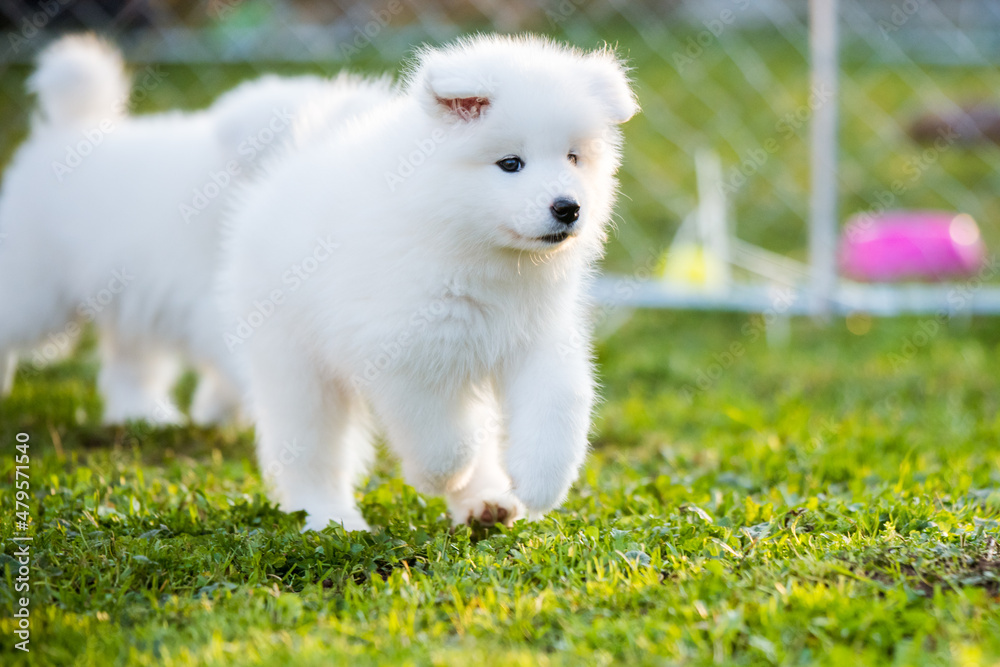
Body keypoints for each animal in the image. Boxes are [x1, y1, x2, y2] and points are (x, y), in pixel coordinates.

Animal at [0, 32, 392, 422]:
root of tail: (66, 130)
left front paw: (217, 412)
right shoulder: (227, 306)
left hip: (124, 297)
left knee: (130, 365)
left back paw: (145, 415)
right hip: (37, 293)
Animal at [222, 35, 636, 532]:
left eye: (574, 158)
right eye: (511, 163)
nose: (568, 207)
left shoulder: (537, 336)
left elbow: (560, 403)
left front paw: (539, 482)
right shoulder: (407, 350)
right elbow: (441, 437)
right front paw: (439, 476)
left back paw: (487, 503)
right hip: (296, 363)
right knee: (311, 450)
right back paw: (331, 518)